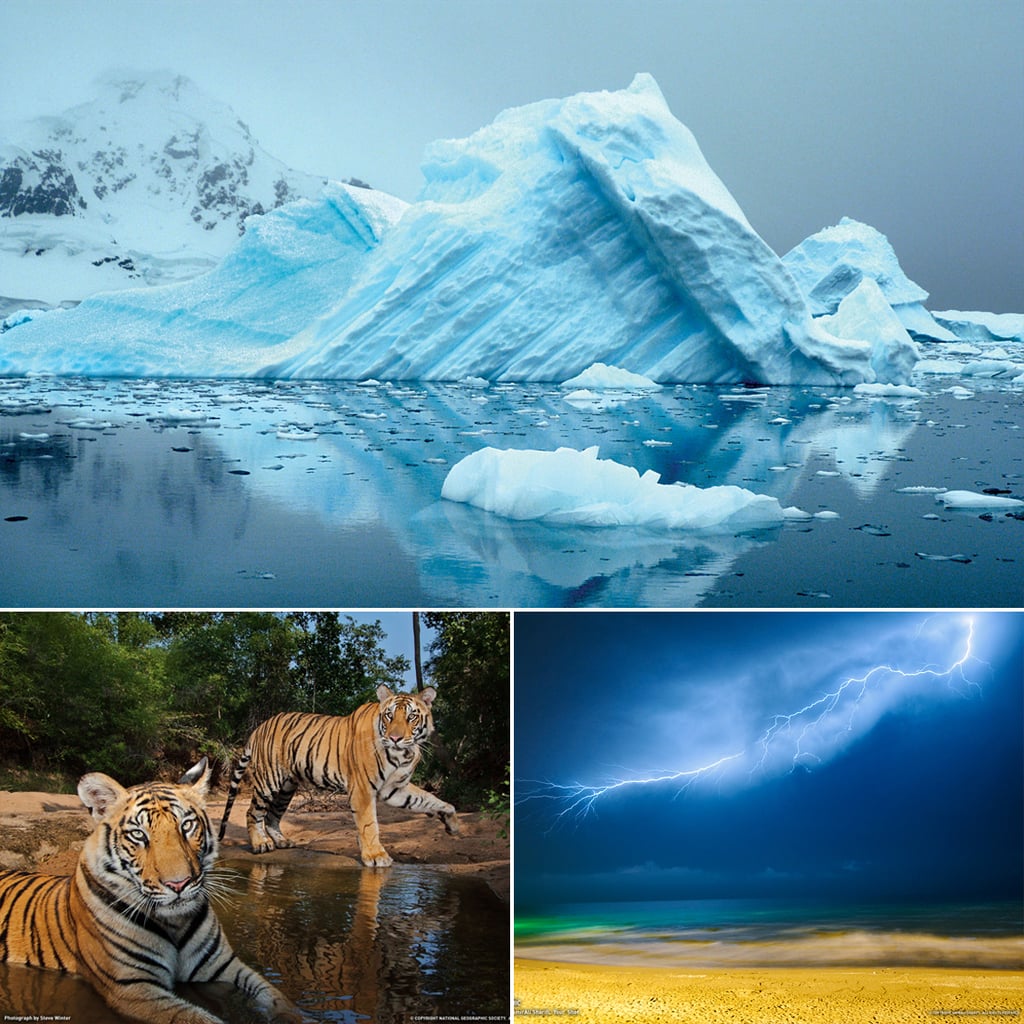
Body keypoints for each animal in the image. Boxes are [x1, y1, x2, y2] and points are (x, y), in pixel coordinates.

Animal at [0, 757, 299, 1019]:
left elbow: (277, 997)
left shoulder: (222, 966)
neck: (175, 923)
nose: (179, 883)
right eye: (138, 835)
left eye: (186, 826)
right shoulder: (134, 988)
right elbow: (195, 1018)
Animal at [219, 684, 460, 868]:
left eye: (411, 717)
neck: (402, 754)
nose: (395, 738)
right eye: (389, 715)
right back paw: (260, 844)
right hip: (269, 781)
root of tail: (259, 727)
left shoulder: (395, 789)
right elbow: (369, 824)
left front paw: (452, 823)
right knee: (253, 812)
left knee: (272, 815)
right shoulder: (363, 789)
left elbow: (430, 799)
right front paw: (376, 856)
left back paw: (281, 841)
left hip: (287, 787)